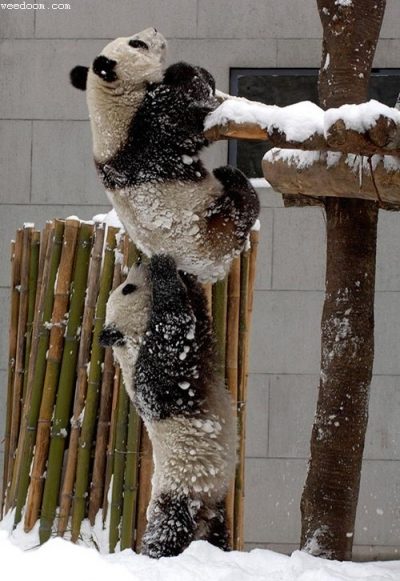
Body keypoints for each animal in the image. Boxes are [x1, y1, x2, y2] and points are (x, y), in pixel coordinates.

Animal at [70, 29, 260, 284]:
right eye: (137, 43)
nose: (155, 30)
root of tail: (209, 272)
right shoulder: (150, 128)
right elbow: (190, 112)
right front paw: (182, 71)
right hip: (215, 225)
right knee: (242, 206)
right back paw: (231, 176)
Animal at [101, 254, 238, 556]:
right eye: (127, 288)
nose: (139, 262)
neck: (129, 339)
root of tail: (202, 516)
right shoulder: (151, 376)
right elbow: (173, 334)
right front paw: (163, 268)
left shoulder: (199, 343)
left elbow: (199, 318)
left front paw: (185, 276)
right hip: (178, 491)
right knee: (167, 531)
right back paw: (155, 554)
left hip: (214, 503)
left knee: (217, 534)